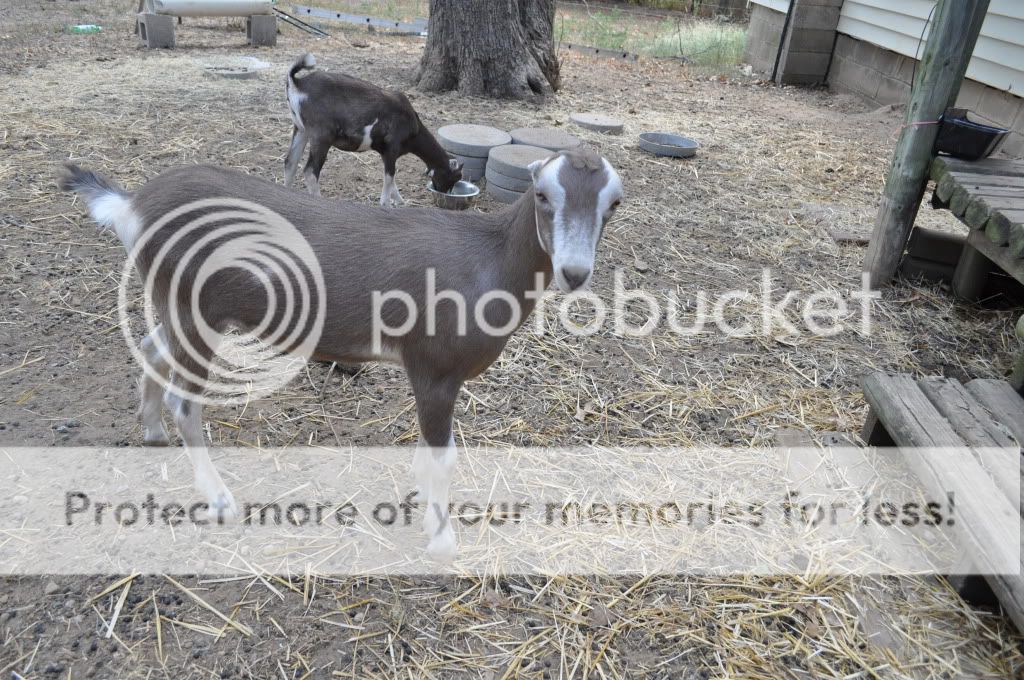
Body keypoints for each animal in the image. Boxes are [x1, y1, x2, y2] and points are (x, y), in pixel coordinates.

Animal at [60, 148, 623, 561]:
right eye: (542, 194)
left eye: (613, 204)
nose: (574, 272)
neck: (487, 261)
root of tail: (131, 205)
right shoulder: (434, 369)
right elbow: (442, 456)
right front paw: (442, 541)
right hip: (195, 311)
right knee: (187, 401)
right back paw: (219, 499)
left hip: (180, 310)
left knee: (152, 349)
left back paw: (151, 430)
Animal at [284, 53, 463, 207]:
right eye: (455, 176)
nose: (445, 193)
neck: (414, 126)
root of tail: (298, 83)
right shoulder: (392, 147)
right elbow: (390, 177)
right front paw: (387, 204)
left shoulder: (386, 152)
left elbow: (392, 179)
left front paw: (400, 201)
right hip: (321, 135)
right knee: (310, 171)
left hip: (301, 129)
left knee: (290, 163)